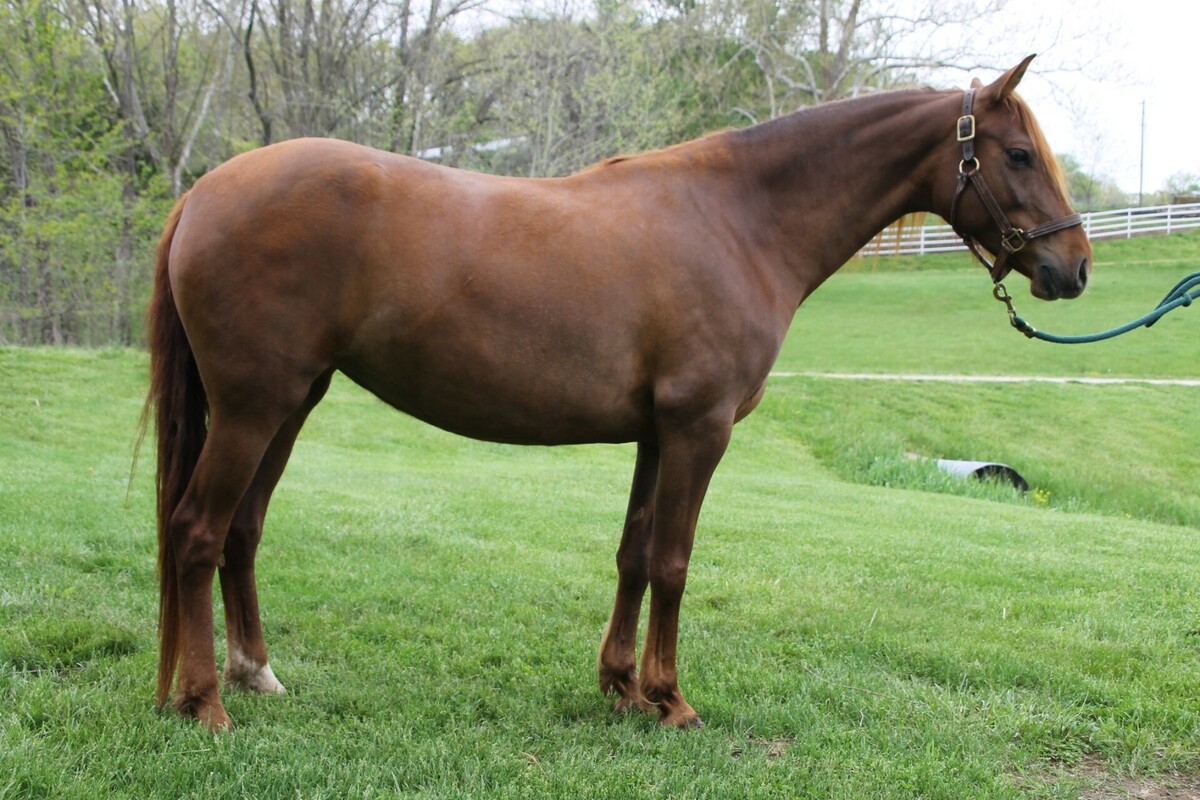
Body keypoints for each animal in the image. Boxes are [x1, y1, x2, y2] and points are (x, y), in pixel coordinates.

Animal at [144, 55, 1091, 731]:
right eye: (1016, 154)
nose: (1073, 268)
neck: (739, 222)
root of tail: (203, 192)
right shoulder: (701, 429)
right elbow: (673, 561)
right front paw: (671, 700)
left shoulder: (656, 434)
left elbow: (634, 555)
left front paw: (621, 686)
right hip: (255, 407)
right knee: (196, 531)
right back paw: (202, 702)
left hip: (290, 403)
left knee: (239, 531)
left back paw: (248, 675)